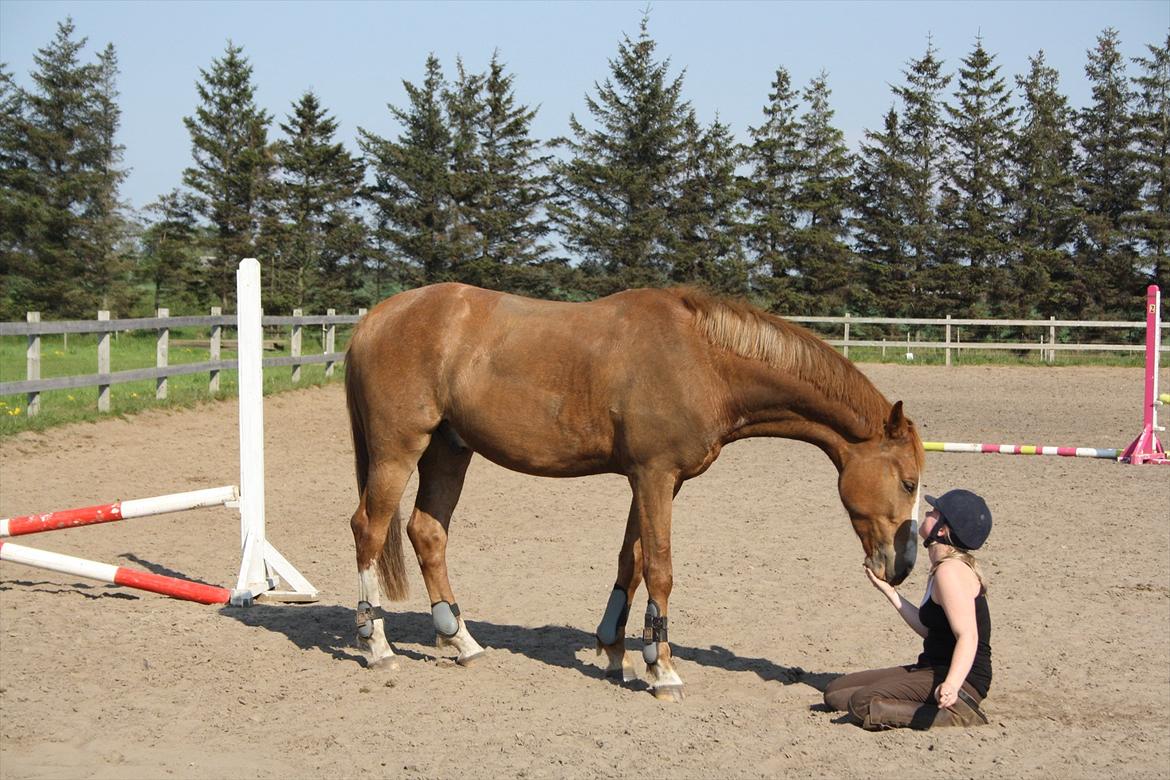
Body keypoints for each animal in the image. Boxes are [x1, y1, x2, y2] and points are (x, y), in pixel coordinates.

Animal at [341, 281, 926, 701]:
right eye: (908, 481)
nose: (901, 565)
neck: (703, 362)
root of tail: (376, 318)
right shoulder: (654, 475)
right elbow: (661, 568)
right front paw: (662, 669)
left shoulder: (656, 482)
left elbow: (633, 560)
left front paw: (616, 652)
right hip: (399, 450)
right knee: (369, 529)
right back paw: (377, 645)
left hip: (448, 450)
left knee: (427, 532)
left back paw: (461, 640)